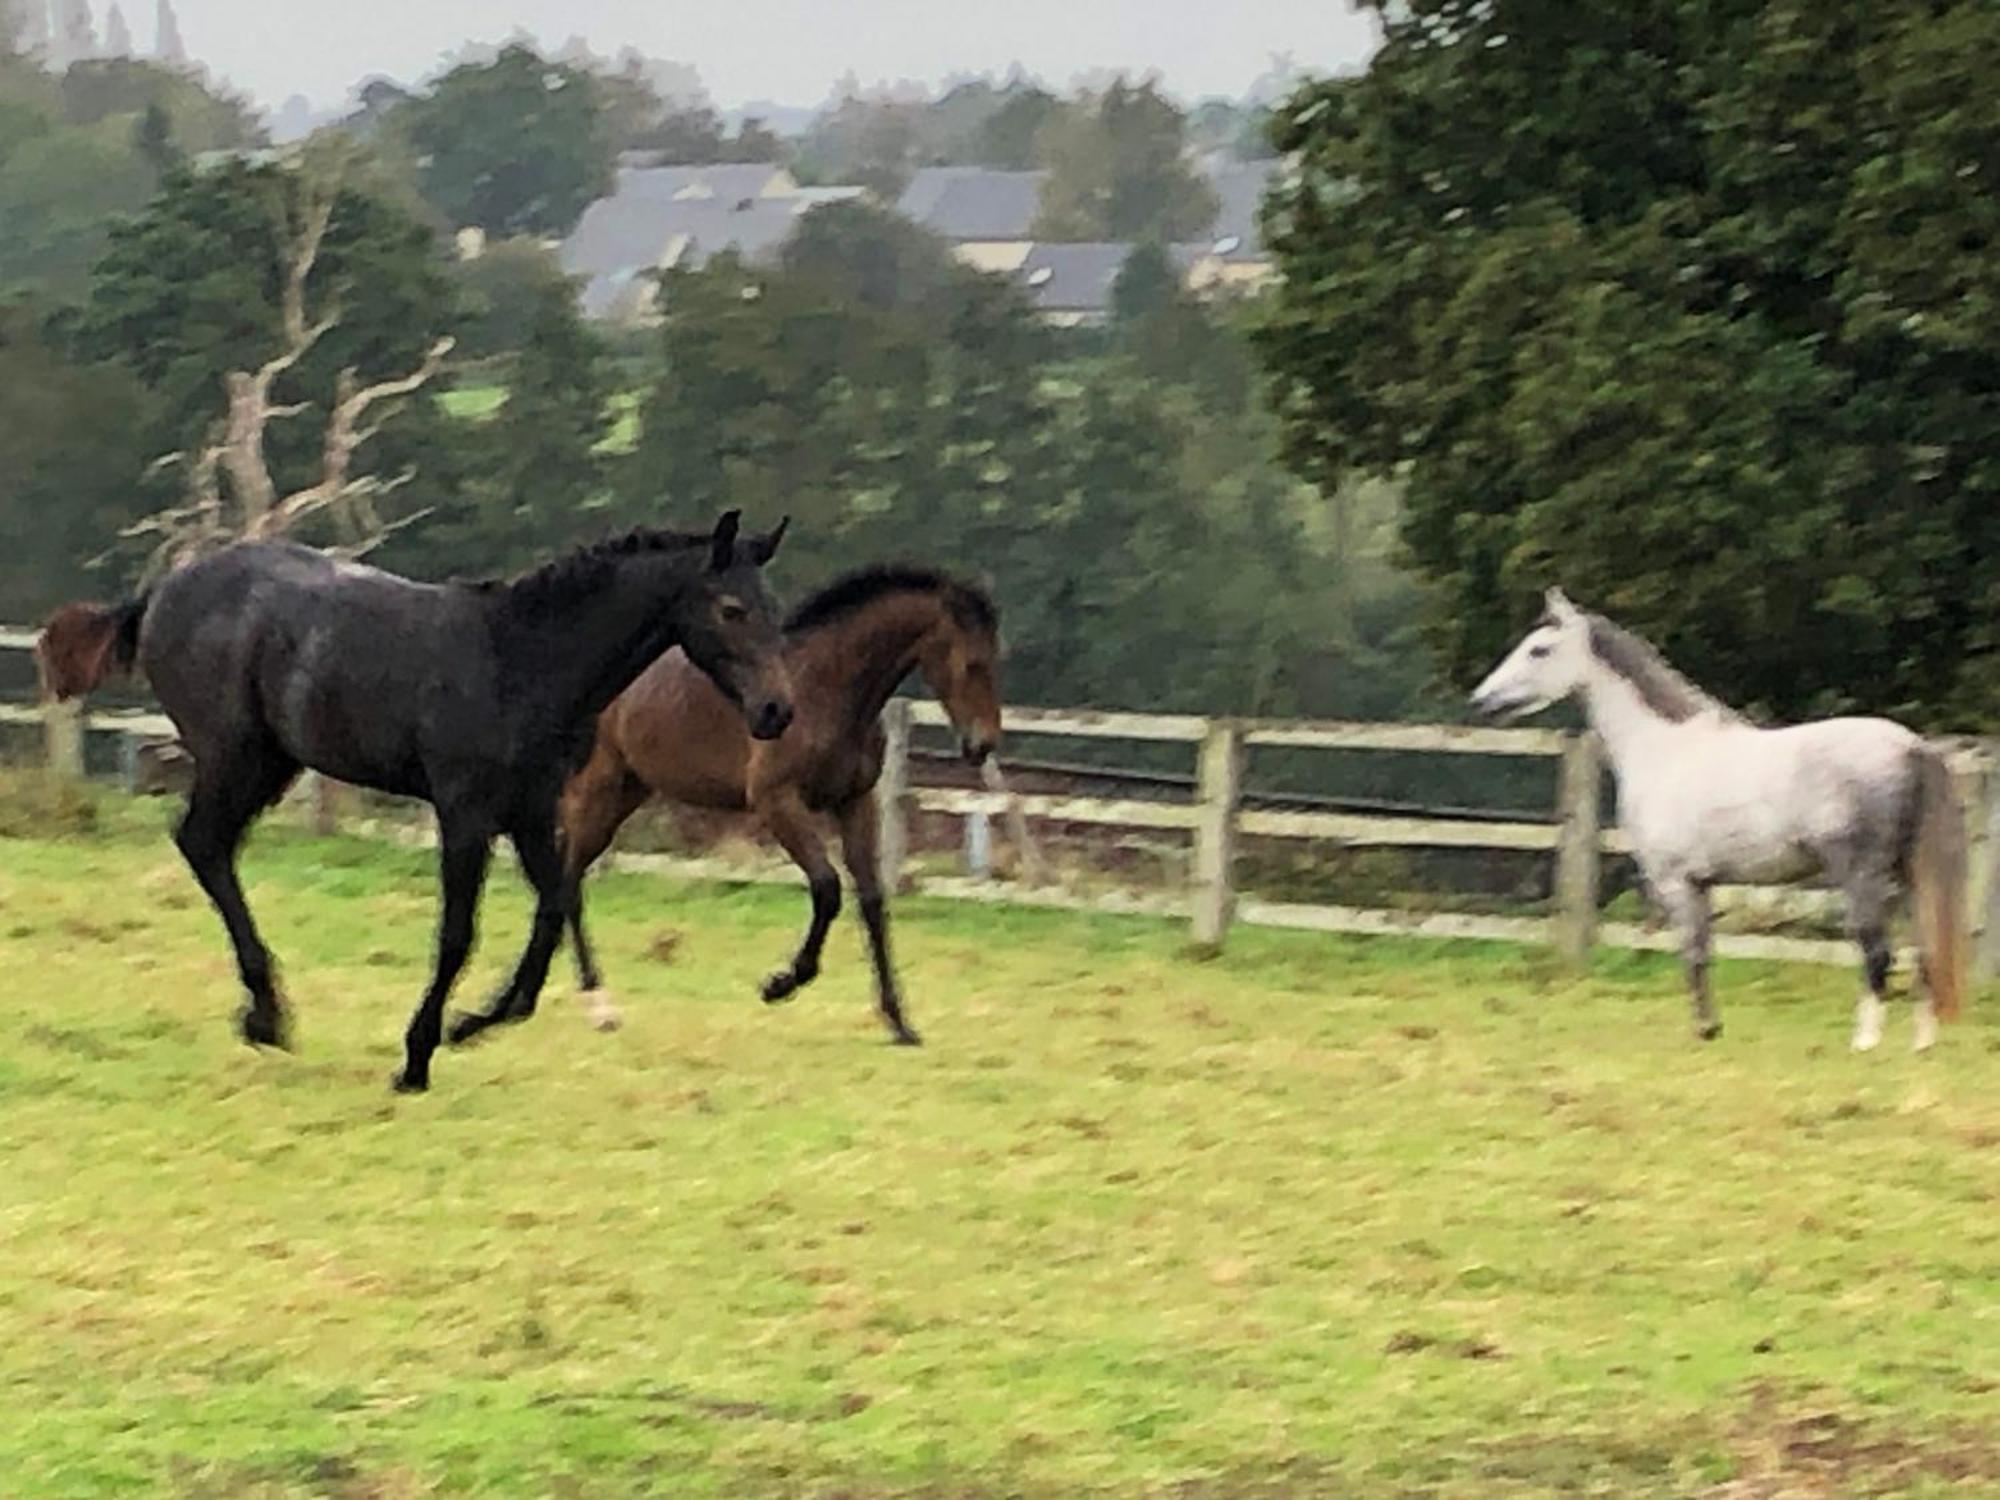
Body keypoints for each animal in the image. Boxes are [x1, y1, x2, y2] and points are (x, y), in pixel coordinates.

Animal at [37, 516, 788, 1096]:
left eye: (774, 609)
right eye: (731, 609)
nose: (776, 712)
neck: (520, 662)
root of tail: (163, 590)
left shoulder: (530, 811)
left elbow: (555, 909)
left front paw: (479, 1022)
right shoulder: (463, 812)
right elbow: (457, 934)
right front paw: (417, 1056)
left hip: (269, 763)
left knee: (209, 846)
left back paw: (266, 1016)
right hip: (235, 757)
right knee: (202, 843)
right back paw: (268, 1016)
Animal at [560, 564, 1000, 1048]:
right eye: (971, 664)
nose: (982, 745)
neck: (825, 687)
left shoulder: (854, 801)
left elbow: (870, 900)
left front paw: (900, 1023)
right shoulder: (777, 801)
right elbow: (827, 888)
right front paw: (781, 983)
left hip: (629, 789)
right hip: (599, 785)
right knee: (567, 877)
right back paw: (599, 1006)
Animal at [1472, 592, 1968, 1048]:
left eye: (1539, 650)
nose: (1482, 701)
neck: (1664, 749)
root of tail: (1912, 747)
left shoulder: (1677, 883)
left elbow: (1691, 955)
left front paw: (1705, 1031)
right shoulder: (1705, 883)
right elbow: (1704, 953)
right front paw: (1712, 1027)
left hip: (1863, 876)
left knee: (1877, 952)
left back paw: (1865, 1042)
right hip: (1906, 876)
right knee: (1923, 951)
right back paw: (1922, 1043)